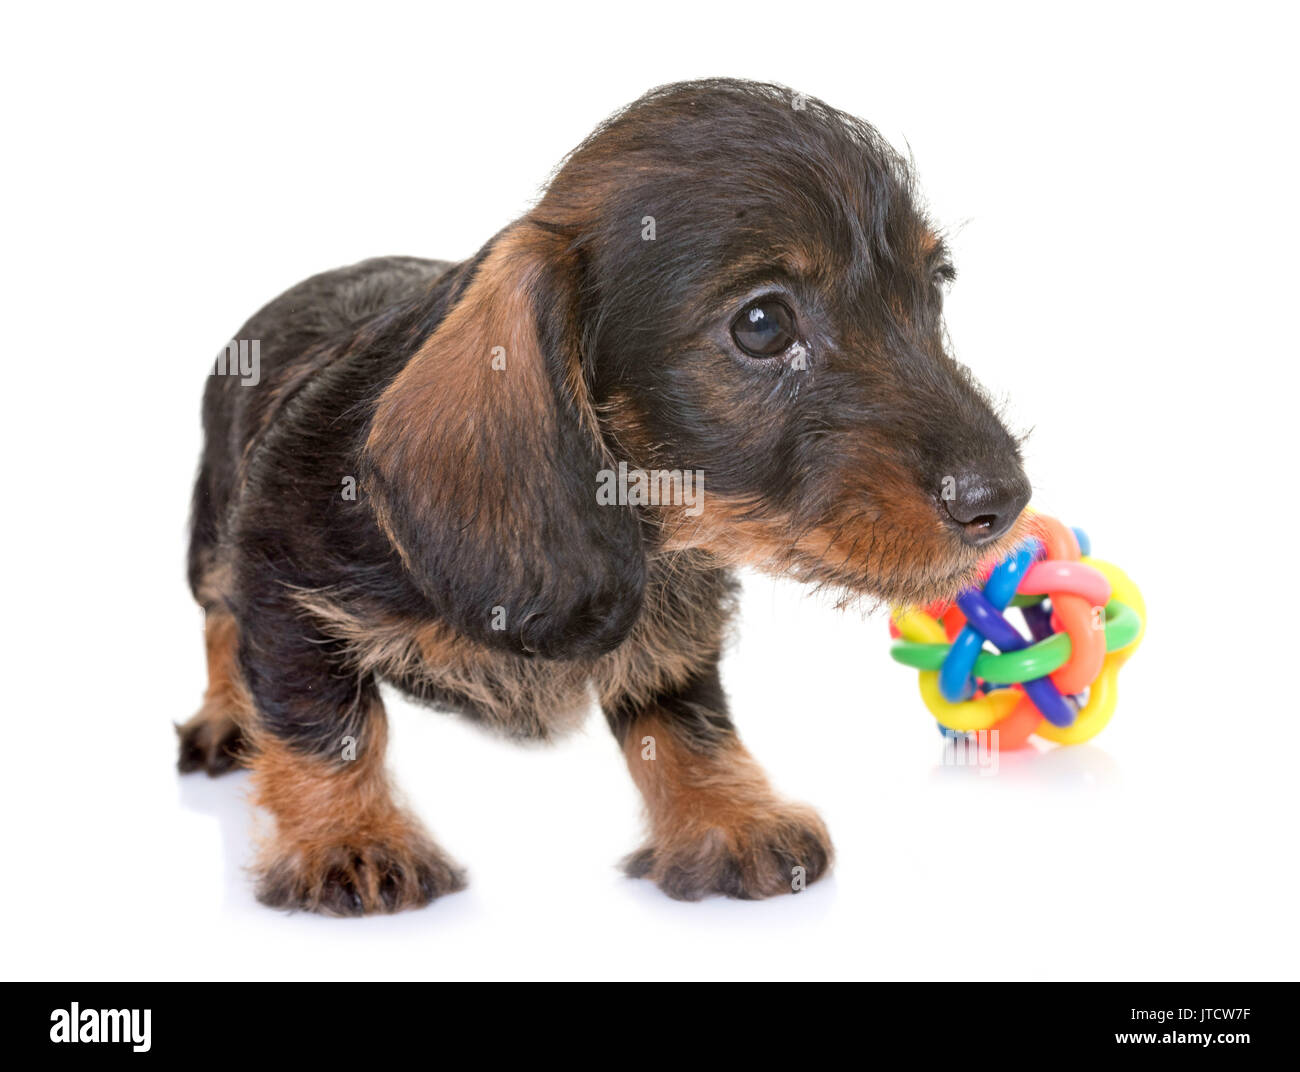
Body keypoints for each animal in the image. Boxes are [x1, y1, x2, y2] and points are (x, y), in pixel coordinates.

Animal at [183, 77, 1029, 909]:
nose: (1004, 501)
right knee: (219, 626)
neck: (649, 526)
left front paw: (727, 817)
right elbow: (325, 722)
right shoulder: (280, 581)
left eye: (933, 292)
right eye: (761, 323)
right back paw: (225, 720)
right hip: (210, 538)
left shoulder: (674, 634)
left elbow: (684, 716)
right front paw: (351, 840)